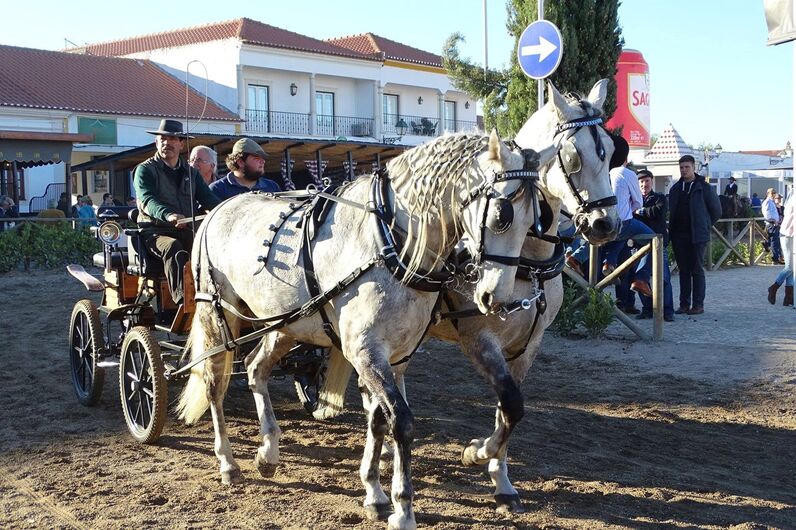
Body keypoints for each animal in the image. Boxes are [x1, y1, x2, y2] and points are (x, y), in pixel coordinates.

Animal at [176, 129, 557, 530]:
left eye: (537, 220)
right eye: (502, 216)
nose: (495, 297)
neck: (390, 240)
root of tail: (217, 210)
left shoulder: (396, 355)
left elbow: (379, 420)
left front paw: (376, 495)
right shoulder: (365, 351)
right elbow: (401, 422)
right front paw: (403, 508)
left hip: (286, 323)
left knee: (255, 368)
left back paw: (268, 452)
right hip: (216, 313)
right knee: (214, 383)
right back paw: (227, 461)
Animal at [315, 79, 619, 515]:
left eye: (611, 150)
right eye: (573, 156)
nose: (605, 223)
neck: (526, 262)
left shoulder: (528, 346)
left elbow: (509, 410)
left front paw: (502, 480)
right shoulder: (479, 340)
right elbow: (511, 404)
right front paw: (476, 452)